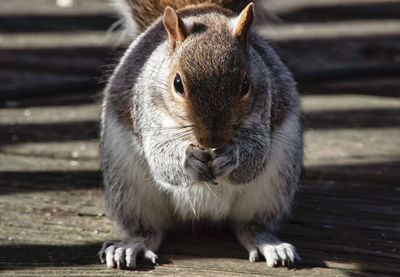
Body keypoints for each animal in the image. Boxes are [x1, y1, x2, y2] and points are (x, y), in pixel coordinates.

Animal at [98, 0, 302, 268]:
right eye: (177, 83)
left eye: (245, 85)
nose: (213, 140)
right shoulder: (146, 107)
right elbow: (160, 155)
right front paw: (188, 160)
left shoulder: (266, 101)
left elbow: (255, 156)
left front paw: (231, 157)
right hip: (127, 186)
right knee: (148, 229)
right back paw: (132, 245)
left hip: (274, 185)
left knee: (250, 225)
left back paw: (268, 243)